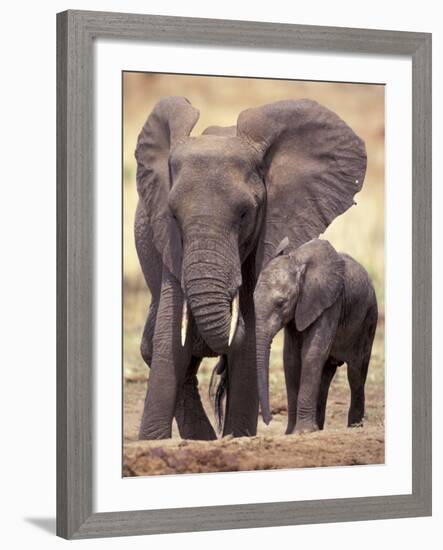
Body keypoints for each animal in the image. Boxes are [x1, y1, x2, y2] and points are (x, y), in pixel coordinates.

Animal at [255, 239, 376, 438]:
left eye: (281, 303)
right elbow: (291, 360)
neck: (298, 261)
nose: (268, 420)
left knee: (356, 373)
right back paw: (318, 427)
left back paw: (354, 427)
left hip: (368, 320)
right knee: (325, 377)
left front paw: (302, 432)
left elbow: (311, 354)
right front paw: (291, 433)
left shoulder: (330, 303)